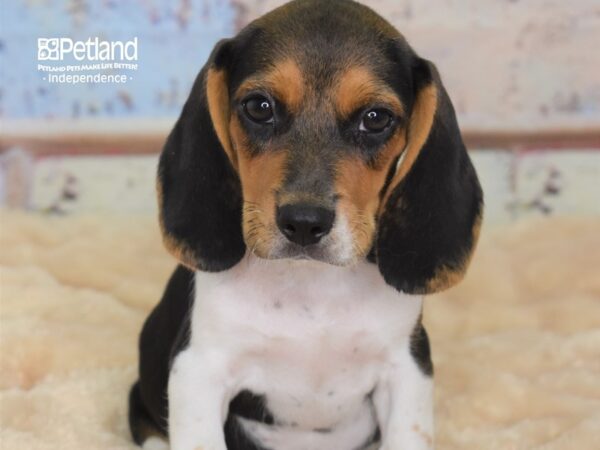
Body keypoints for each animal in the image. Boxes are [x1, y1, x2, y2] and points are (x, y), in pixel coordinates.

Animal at [127, 0, 482, 450]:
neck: (311, 288)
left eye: (376, 118)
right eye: (259, 107)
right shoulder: (199, 369)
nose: (303, 223)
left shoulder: (407, 368)